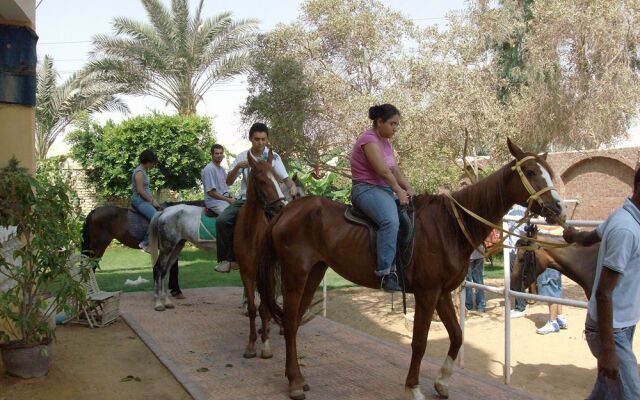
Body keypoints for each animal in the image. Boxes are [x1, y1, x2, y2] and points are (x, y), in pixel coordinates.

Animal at [255, 140, 564, 400]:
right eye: (531, 171)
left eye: (548, 171)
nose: (559, 208)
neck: (450, 226)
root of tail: (286, 211)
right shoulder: (427, 293)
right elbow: (419, 342)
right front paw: (413, 387)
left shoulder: (442, 293)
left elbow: (457, 336)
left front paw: (442, 381)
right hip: (294, 275)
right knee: (290, 323)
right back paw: (295, 383)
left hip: (314, 273)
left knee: (294, 320)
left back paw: (298, 378)